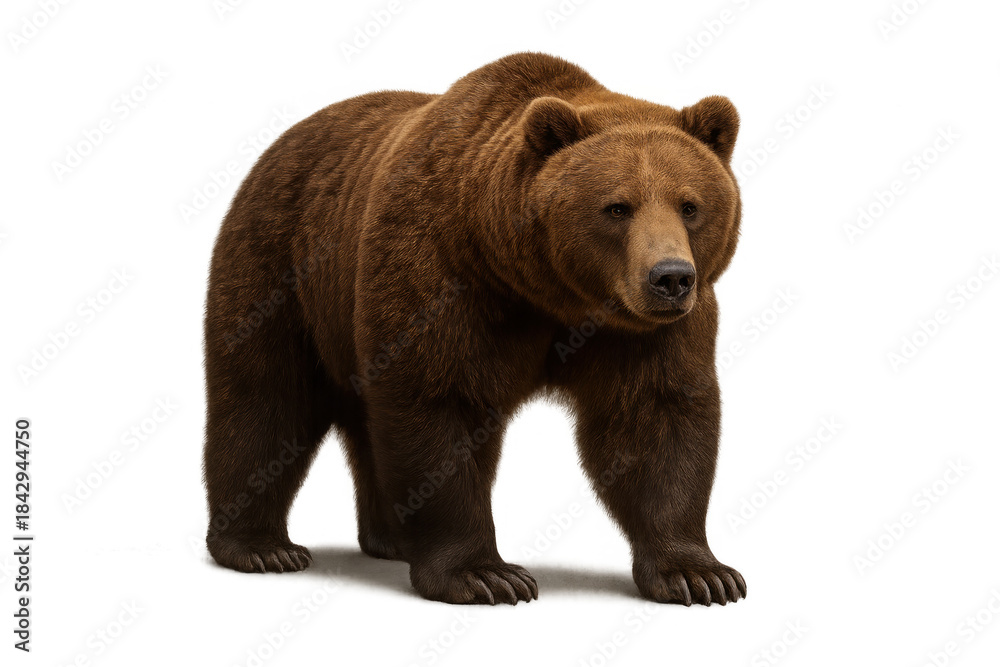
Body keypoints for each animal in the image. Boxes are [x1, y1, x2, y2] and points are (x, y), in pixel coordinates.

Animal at [203, 52, 745, 606]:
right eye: (618, 207)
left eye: (690, 205)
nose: (671, 277)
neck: (547, 291)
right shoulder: (444, 276)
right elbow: (440, 405)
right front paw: (485, 575)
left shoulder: (642, 332)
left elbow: (656, 417)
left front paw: (699, 574)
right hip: (281, 268)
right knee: (266, 400)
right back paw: (261, 547)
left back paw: (390, 539)